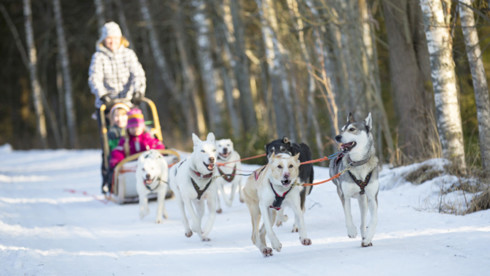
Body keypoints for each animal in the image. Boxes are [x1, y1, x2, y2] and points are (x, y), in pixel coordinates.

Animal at [330, 113, 378, 247]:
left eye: (352, 129)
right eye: (342, 129)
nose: (337, 136)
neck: (358, 163)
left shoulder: (372, 197)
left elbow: (373, 220)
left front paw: (368, 237)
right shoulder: (344, 195)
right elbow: (348, 214)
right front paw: (351, 230)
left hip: (363, 200)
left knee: (363, 221)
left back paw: (364, 235)